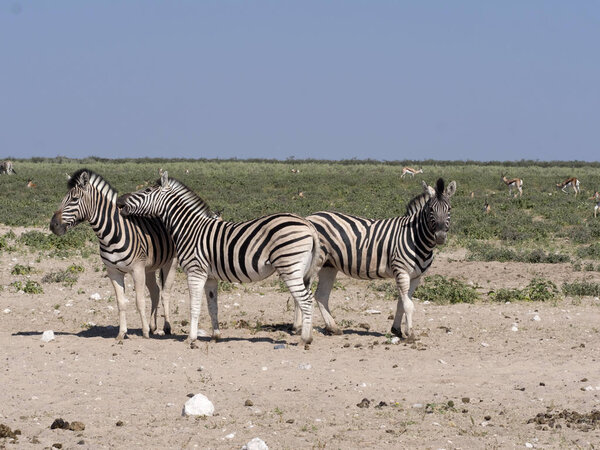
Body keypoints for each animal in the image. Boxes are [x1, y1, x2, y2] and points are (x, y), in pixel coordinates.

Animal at [50, 170, 177, 342]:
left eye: (74, 199)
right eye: (63, 199)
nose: (53, 226)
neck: (110, 234)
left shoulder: (137, 269)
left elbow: (139, 301)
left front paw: (144, 332)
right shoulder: (113, 272)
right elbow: (121, 303)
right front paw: (122, 333)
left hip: (170, 262)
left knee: (165, 293)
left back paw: (166, 327)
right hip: (150, 267)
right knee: (156, 291)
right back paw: (152, 326)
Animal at [118, 171, 324, 346]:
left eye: (147, 191)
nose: (120, 201)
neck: (189, 228)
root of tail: (307, 224)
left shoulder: (195, 272)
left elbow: (194, 306)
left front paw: (191, 338)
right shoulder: (210, 277)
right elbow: (212, 306)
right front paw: (215, 336)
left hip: (289, 267)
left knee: (306, 300)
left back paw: (305, 339)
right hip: (301, 270)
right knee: (306, 298)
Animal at [298, 178, 458, 340]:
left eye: (449, 209)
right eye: (430, 210)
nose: (440, 237)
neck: (415, 237)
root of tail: (311, 216)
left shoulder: (416, 276)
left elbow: (402, 302)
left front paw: (397, 330)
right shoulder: (401, 271)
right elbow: (408, 305)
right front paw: (410, 334)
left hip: (329, 265)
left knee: (321, 295)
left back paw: (332, 328)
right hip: (316, 261)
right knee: (303, 291)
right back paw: (300, 328)